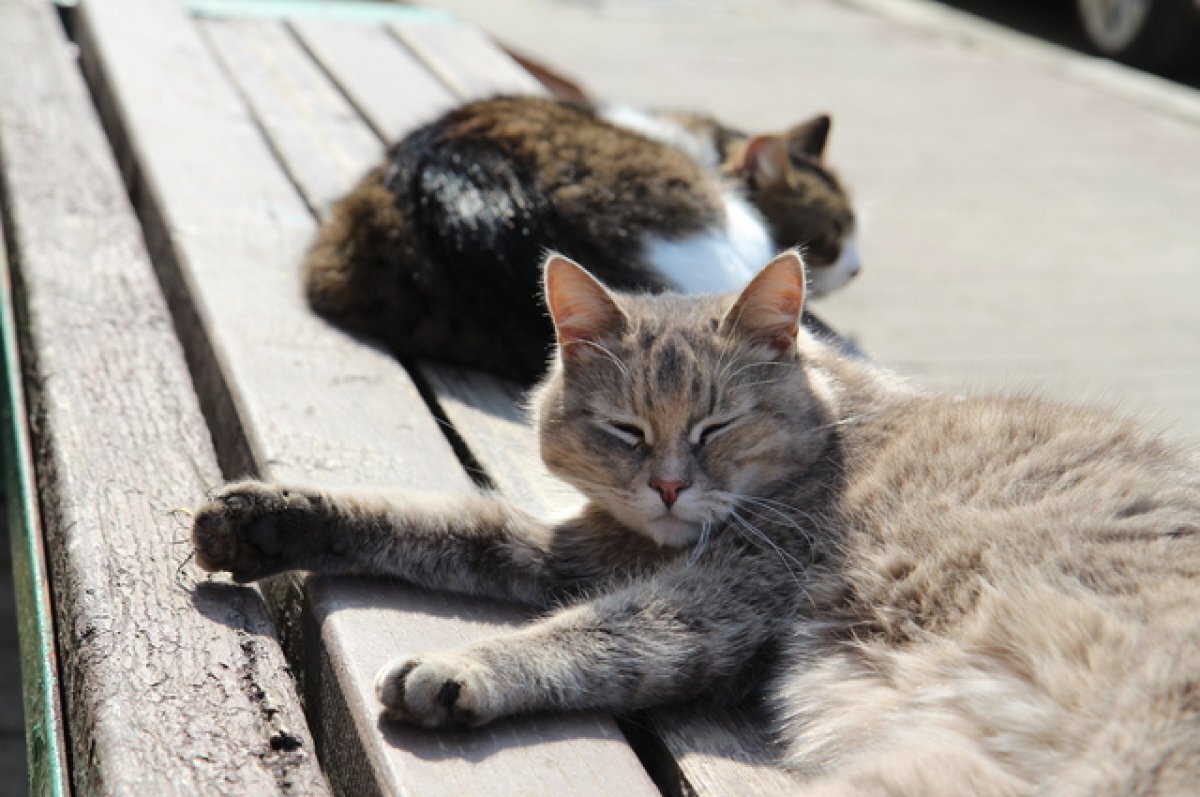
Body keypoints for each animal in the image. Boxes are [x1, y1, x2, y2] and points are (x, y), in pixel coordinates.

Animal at [194, 252, 1200, 792]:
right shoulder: (585, 547)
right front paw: (270, 517)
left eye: (717, 426)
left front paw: (461, 667)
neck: (839, 423)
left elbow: (586, 635)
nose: (672, 487)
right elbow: (441, 521)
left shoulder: (716, 595)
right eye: (626, 430)